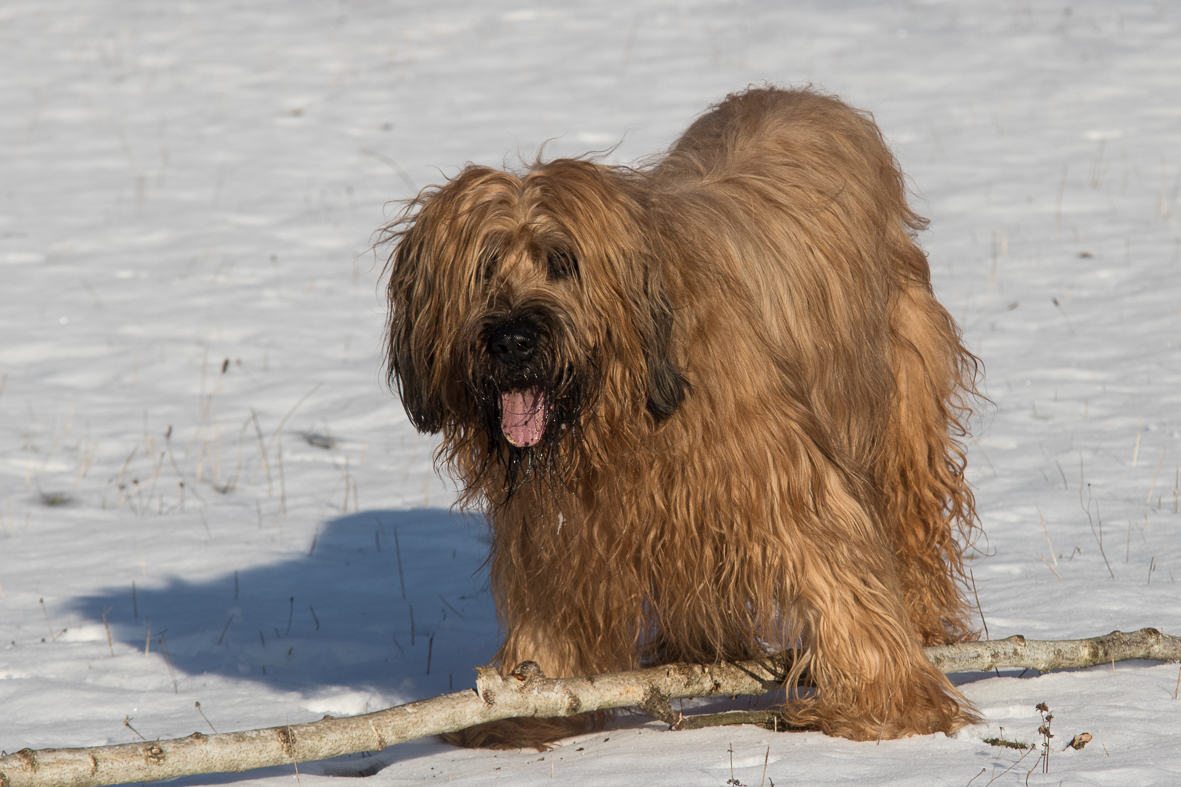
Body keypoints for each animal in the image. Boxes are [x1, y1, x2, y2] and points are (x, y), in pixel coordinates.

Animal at [382, 87, 982, 746]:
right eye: (485, 268)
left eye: (562, 263)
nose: (512, 340)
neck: (619, 415)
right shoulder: (559, 523)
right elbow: (552, 599)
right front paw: (523, 700)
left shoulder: (777, 469)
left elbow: (832, 559)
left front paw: (888, 704)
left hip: (902, 390)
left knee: (910, 516)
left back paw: (925, 628)